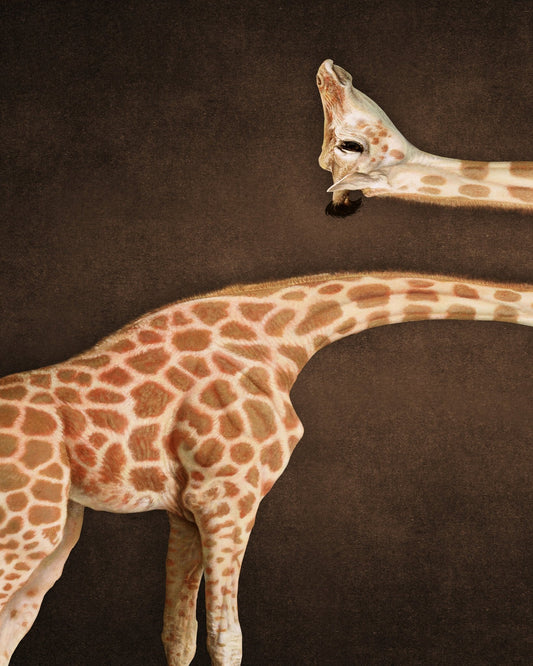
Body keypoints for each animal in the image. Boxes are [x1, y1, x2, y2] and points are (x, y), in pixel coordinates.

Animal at [0, 271, 532, 665]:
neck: (287, 336)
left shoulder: (186, 510)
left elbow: (179, 636)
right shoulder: (227, 497)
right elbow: (225, 637)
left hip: (57, 531)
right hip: (27, 528)